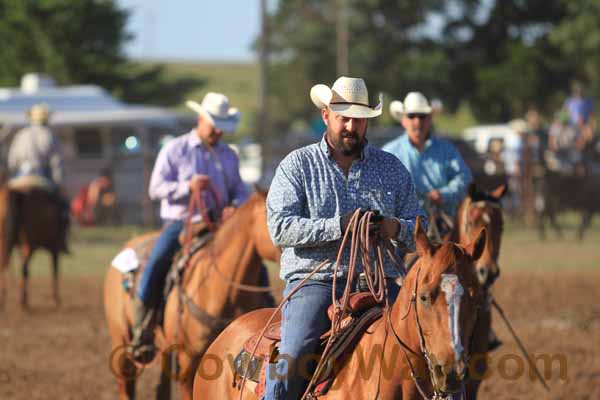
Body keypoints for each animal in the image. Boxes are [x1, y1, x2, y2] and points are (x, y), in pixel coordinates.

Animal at [0, 176, 68, 310]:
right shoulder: (54, 247)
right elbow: (55, 270)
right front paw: (56, 299)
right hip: (29, 243)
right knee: (25, 269)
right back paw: (23, 302)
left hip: (6, 241)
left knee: (7, 265)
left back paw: (6, 301)